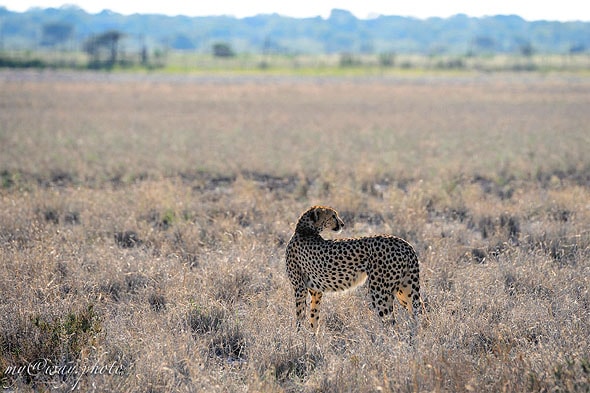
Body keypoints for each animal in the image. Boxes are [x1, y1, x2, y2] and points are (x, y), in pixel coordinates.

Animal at [286, 205, 420, 330]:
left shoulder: (300, 288)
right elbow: (314, 317)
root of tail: (404, 243)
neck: (304, 230)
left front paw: (299, 336)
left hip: (379, 290)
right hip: (405, 289)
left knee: (390, 322)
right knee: (418, 313)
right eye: (333, 216)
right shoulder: (315, 291)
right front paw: (312, 337)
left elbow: (300, 315)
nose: (342, 224)